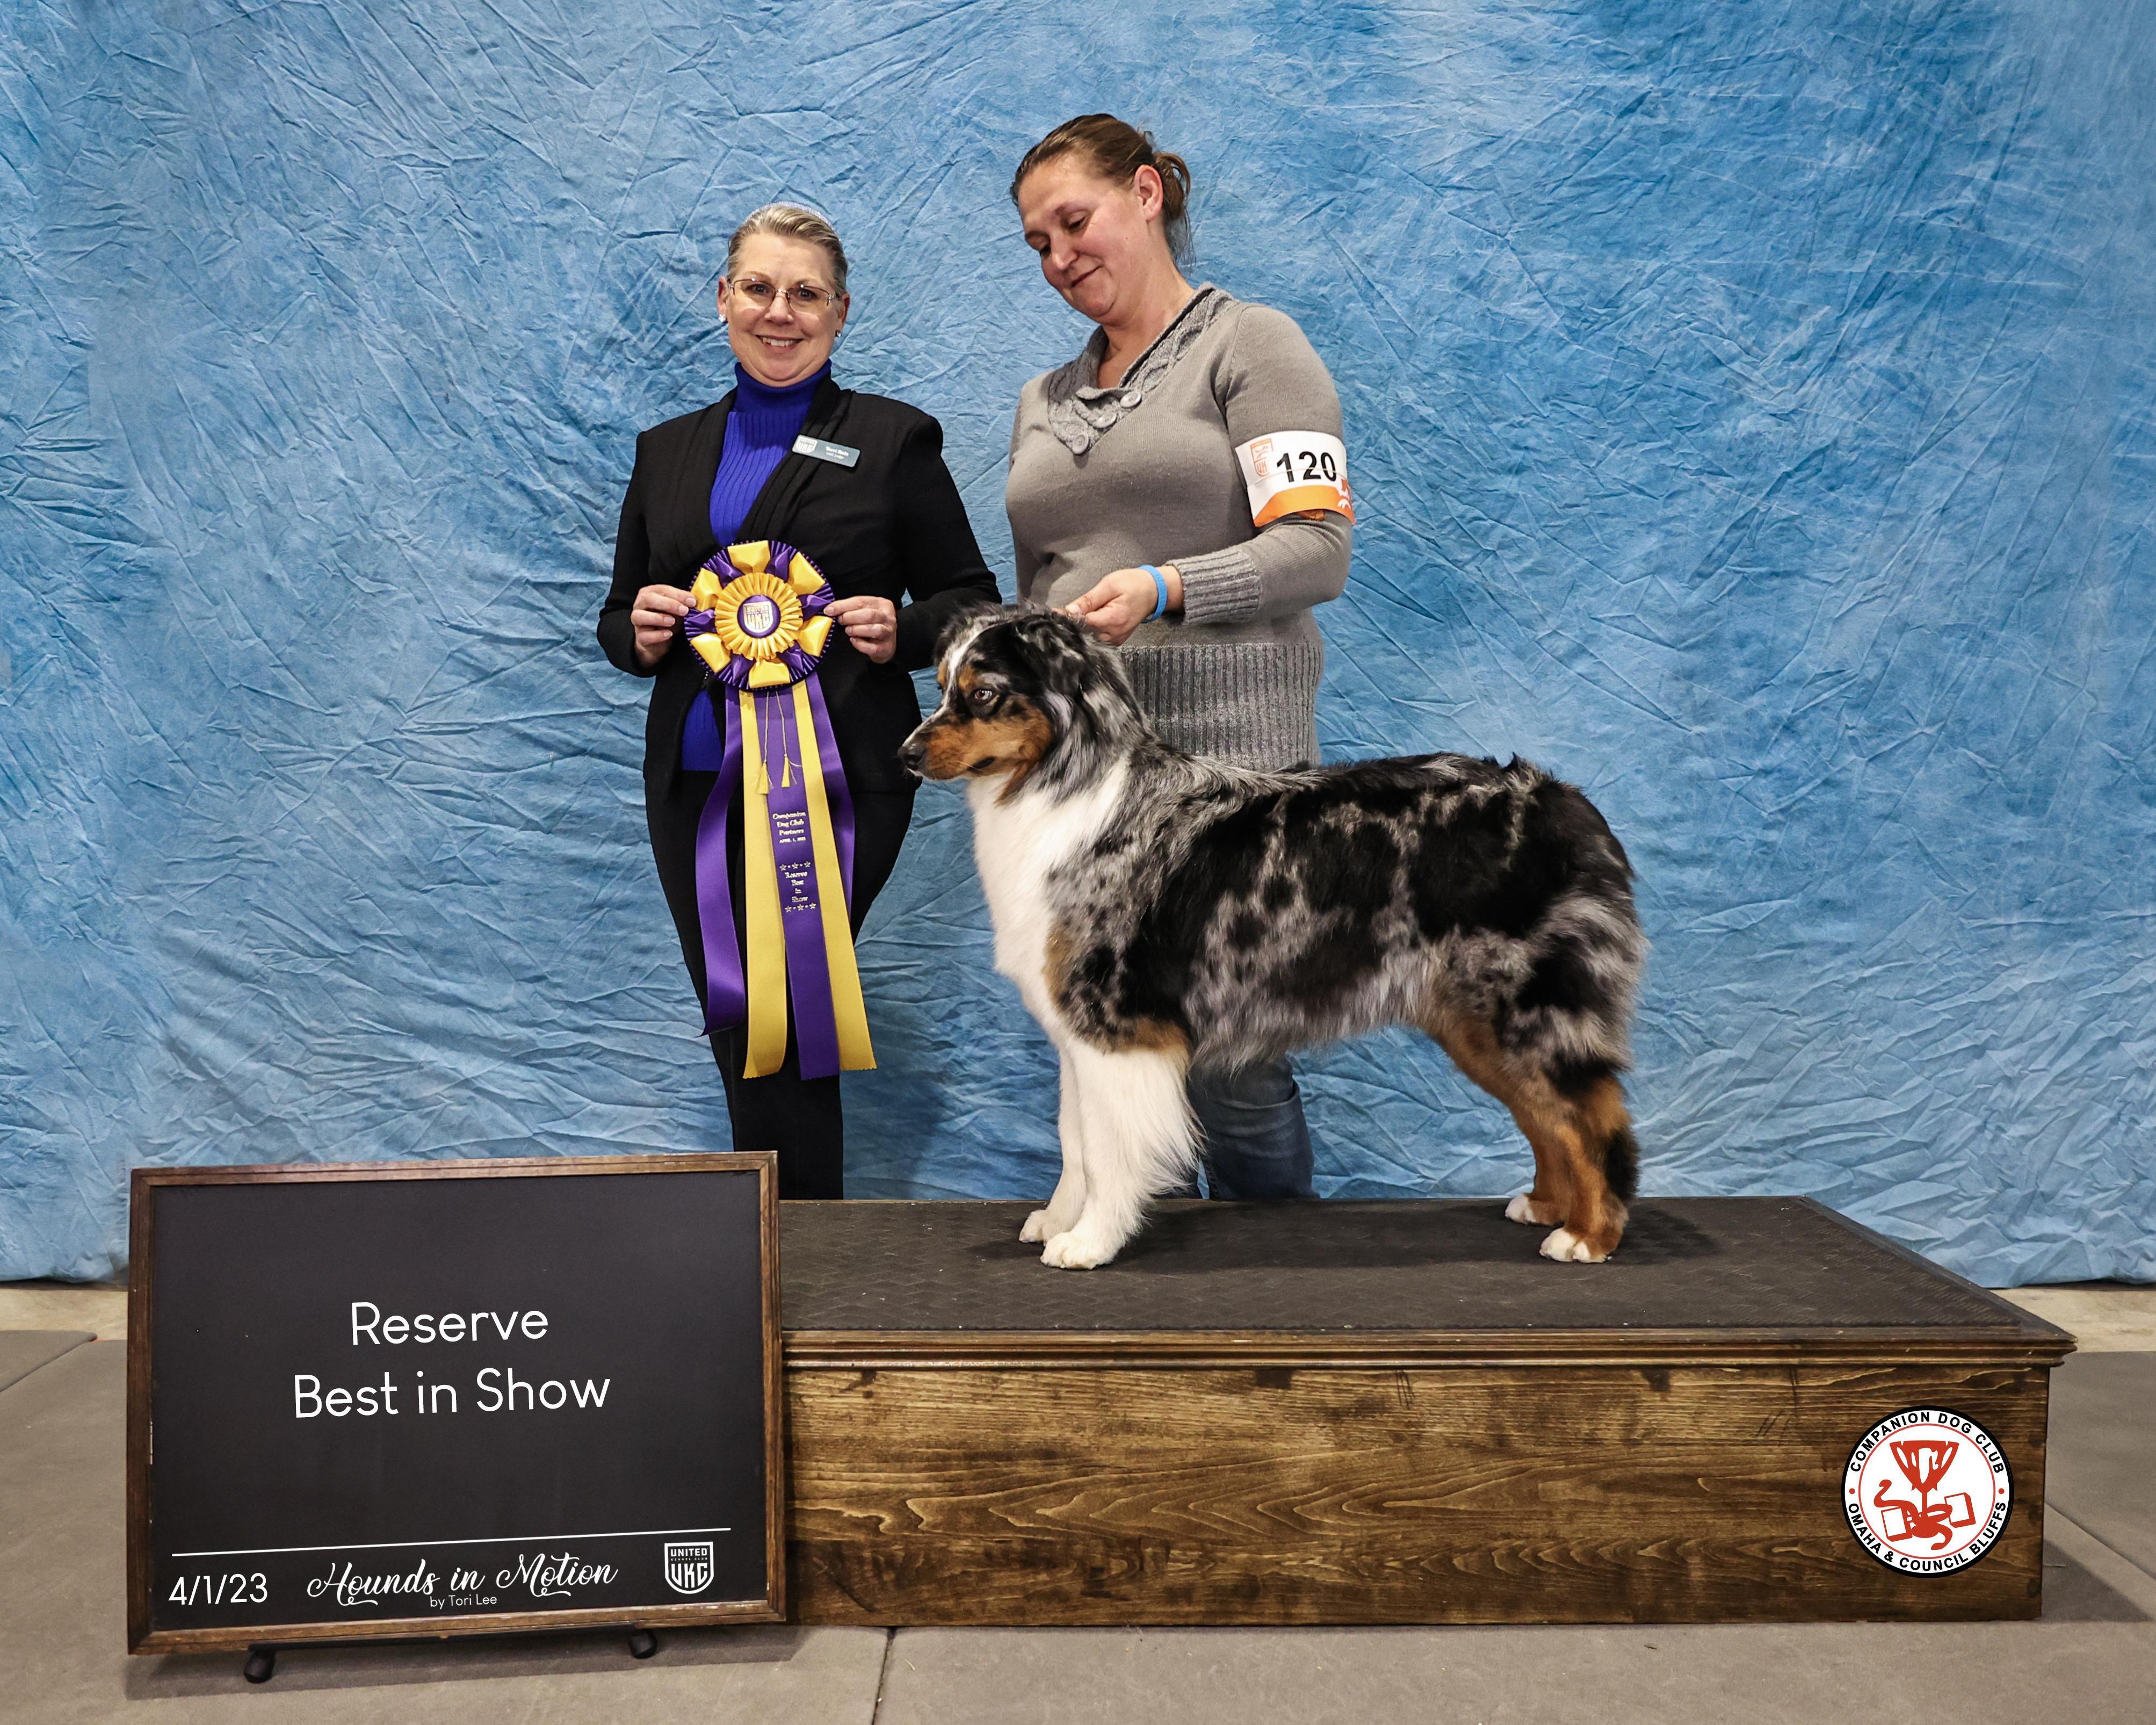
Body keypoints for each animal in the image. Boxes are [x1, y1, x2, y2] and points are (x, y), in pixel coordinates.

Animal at [898, 609, 1647, 1272]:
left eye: (983, 694)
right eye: (942, 684)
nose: (905, 754)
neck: (1056, 786)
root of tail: (1563, 802)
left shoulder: (1116, 1027)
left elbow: (1108, 1149)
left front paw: (1091, 1241)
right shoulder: (1078, 1034)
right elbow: (1075, 1139)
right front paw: (1060, 1219)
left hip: (1524, 1006)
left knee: (1592, 1117)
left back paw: (1590, 1237)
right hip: (1472, 1019)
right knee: (1547, 1117)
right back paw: (1547, 1207)